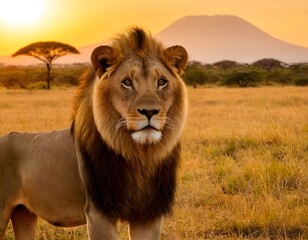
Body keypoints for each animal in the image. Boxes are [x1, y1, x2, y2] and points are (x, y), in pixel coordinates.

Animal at [0, 27, 188, 239]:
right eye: (127, 82)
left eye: (162, 82)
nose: (150, 112)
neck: (139, 156)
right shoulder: (98, 212)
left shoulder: (149, 214)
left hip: (24, 213)